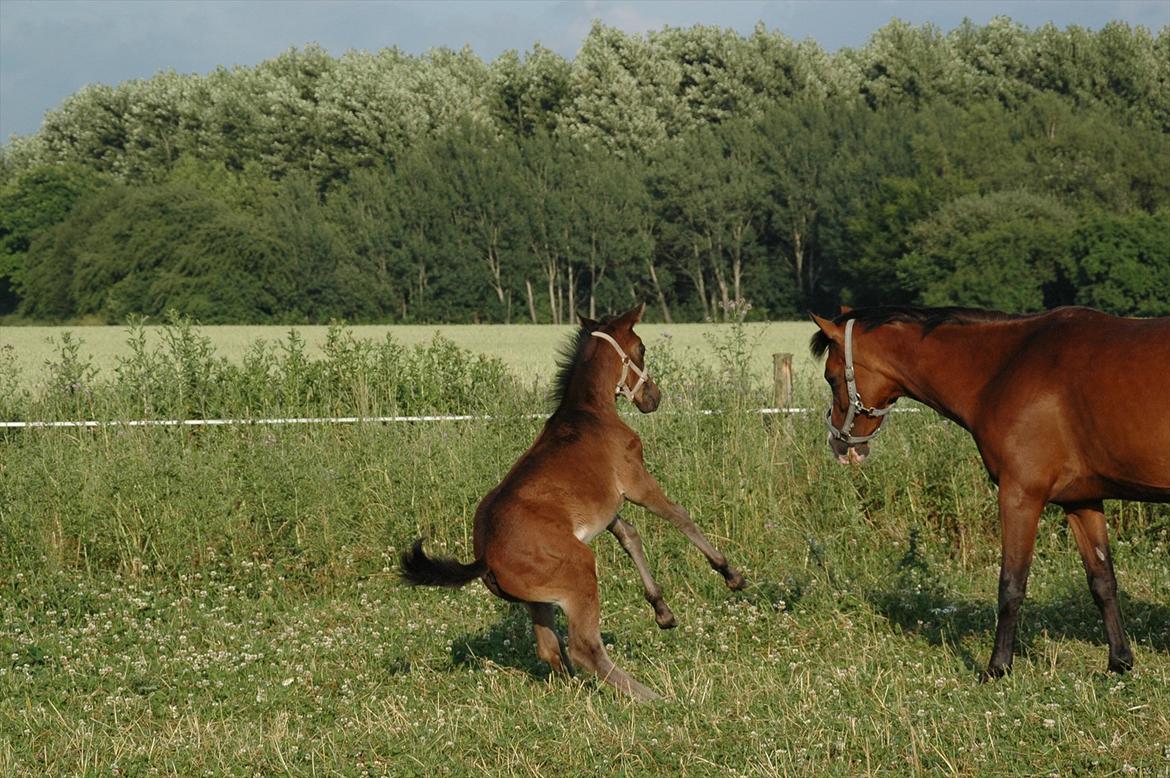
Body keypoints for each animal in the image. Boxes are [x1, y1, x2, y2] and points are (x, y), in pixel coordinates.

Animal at [402, 304, 748, 697]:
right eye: (641, 348)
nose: (653, 398)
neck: (590, 413)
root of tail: (485, 555)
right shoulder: (636, 482)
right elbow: (679, 516)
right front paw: (731, 574)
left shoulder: (607, 509)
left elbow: (630, 536)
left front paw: (663, 611)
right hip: (580, 570)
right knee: (584, 648)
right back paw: (651, 696)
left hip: (539, 600)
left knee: (550, 648)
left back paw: (578, 689)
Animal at [814, 306, 1170, 678]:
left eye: (832, 377)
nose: (841, 446)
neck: (1005, 365)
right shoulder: (1081, 500)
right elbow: (1102, 581)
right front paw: (1120, 661)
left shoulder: (1020, 495)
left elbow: (1011, 585)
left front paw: (998, 666)